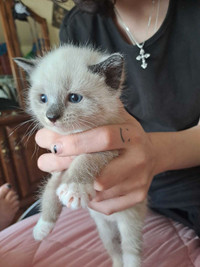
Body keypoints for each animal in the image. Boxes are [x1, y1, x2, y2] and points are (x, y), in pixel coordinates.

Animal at [13, 46, 145, 267]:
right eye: (43, 99)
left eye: (74, 98)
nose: (51, 117)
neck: (75, 135)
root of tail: (111, 220)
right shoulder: (58, 165)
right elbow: (49, 192)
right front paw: (42, 227)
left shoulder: (108, 146)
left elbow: (86, 160)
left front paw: (75, 189)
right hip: (104, 231)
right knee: (114, 249)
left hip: (130, 222)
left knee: (130, 251)